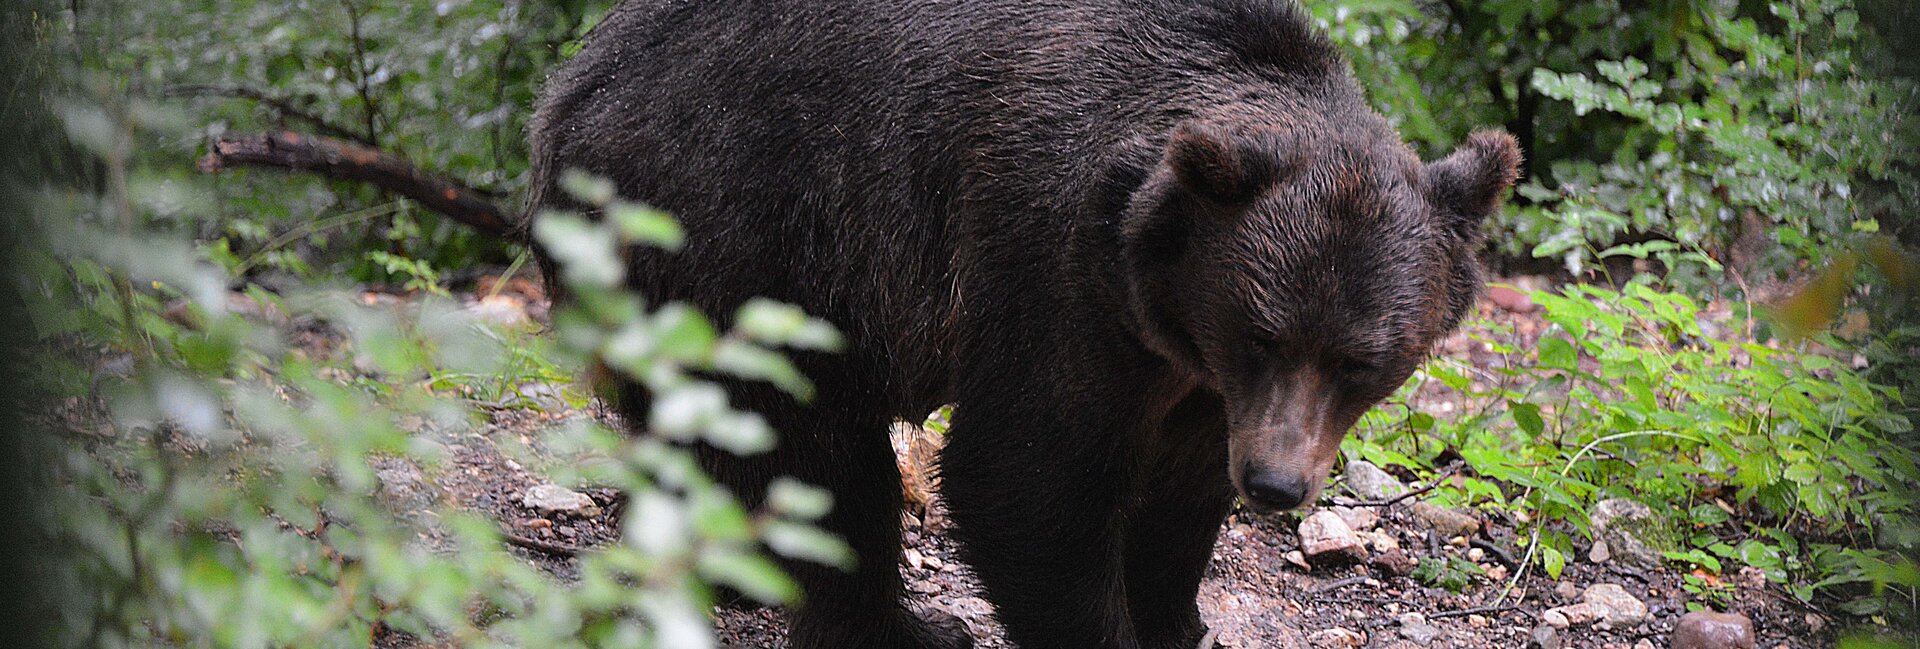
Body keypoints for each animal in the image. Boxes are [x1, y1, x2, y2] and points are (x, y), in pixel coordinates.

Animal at [522, 1, 1512, 649]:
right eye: (1264, 335)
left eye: (1362, 362)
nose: (1276, 484)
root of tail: (568, 91)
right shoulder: (1048, 261)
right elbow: (1029, 476)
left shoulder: (1197, 374)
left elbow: (1180, 490)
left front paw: (1178, 615)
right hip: (744, 228)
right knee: (815, 447)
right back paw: (901, 626)